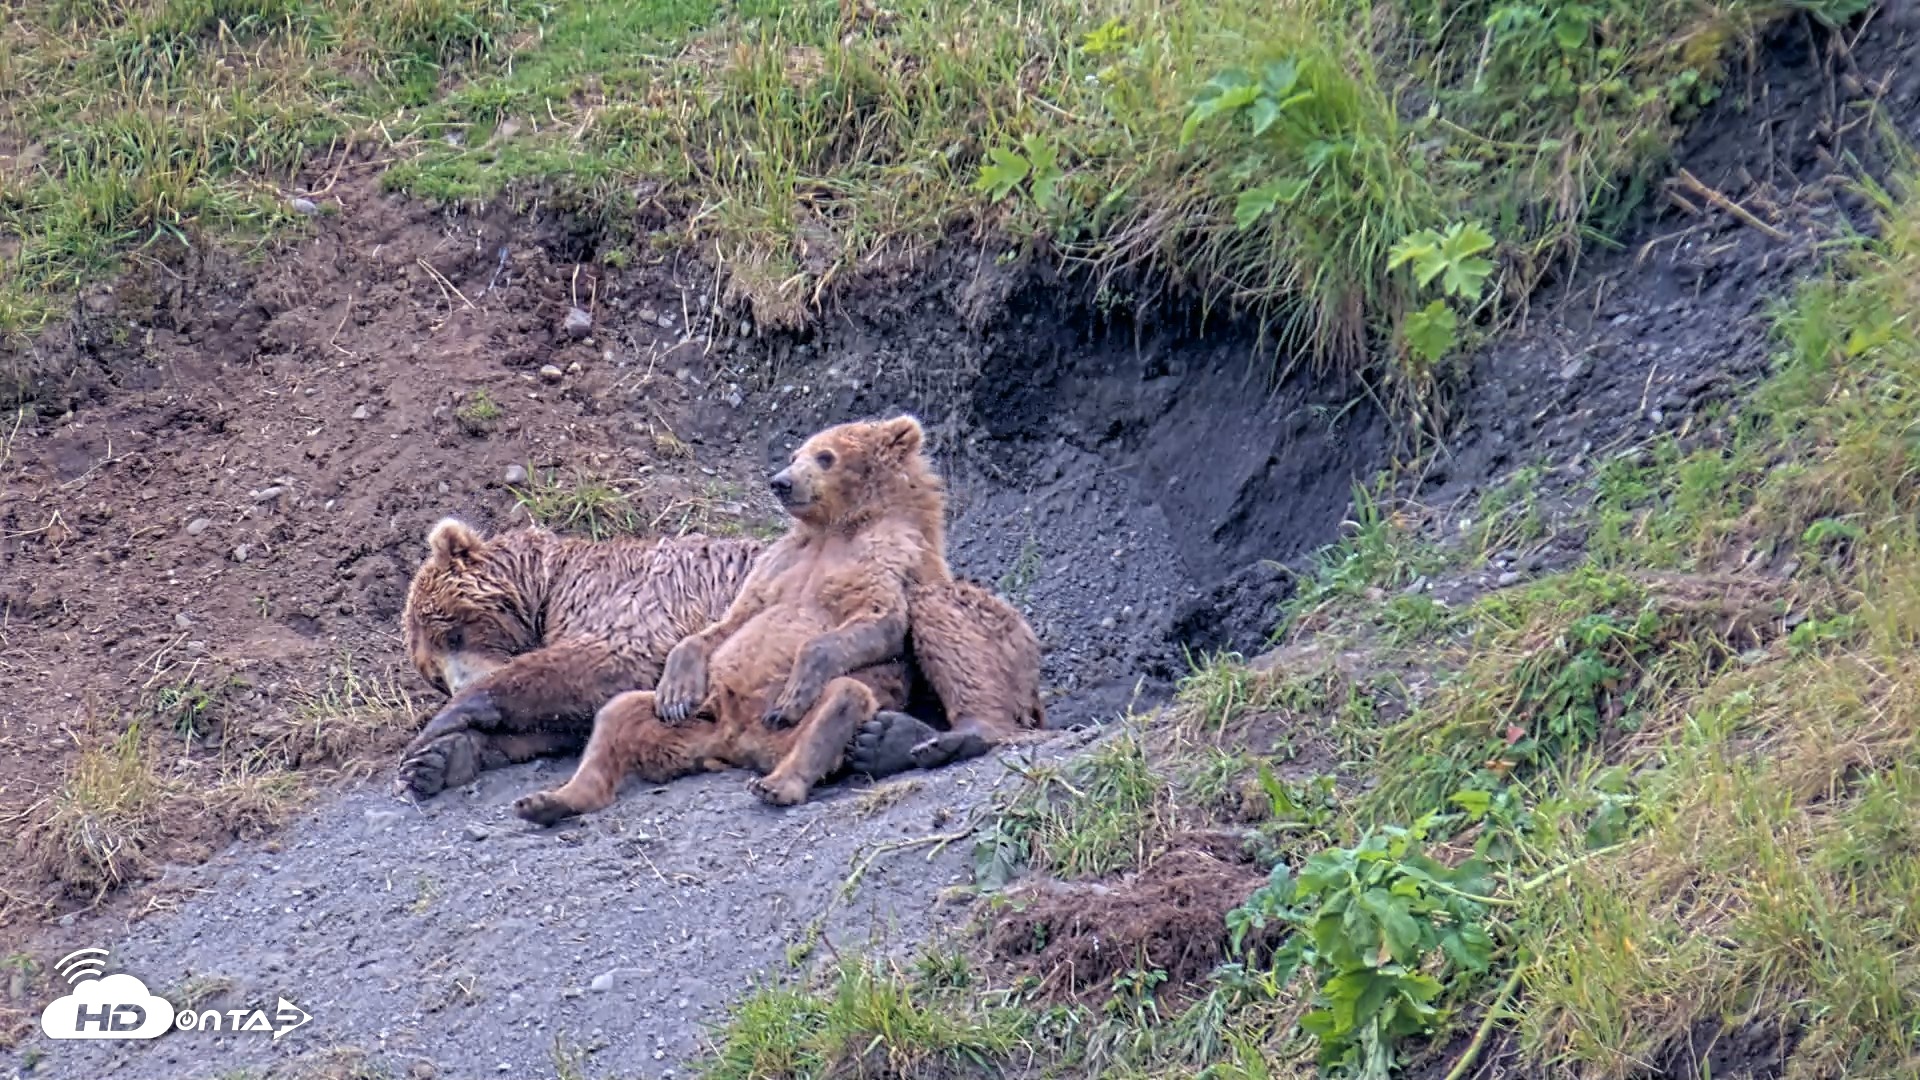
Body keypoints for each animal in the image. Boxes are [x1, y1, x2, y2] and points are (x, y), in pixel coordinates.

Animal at [508, 413, 993, 824]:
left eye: (825, 455)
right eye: (795, 453)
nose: (780, 481)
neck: (836, 527)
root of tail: (736, 745)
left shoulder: (888, 554)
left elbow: (878, 620)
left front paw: (798, 685)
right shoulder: (780, 562)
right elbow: (733, 620)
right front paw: (676, 686)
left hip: (790, 724)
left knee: (842, 699)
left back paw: (780, 782)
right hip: (696, 722)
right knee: (617, 713)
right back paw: (550, 800)